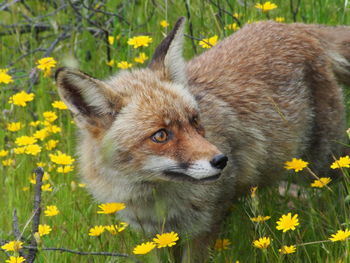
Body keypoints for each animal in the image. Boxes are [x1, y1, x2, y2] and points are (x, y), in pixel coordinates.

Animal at [55, 17, 350, 262]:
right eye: (160, 135)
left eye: (195, 121)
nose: (222, 160)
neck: (157, 199)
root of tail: (291, 26)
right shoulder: (154, 236)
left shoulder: (203, 227)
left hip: (323, 165)